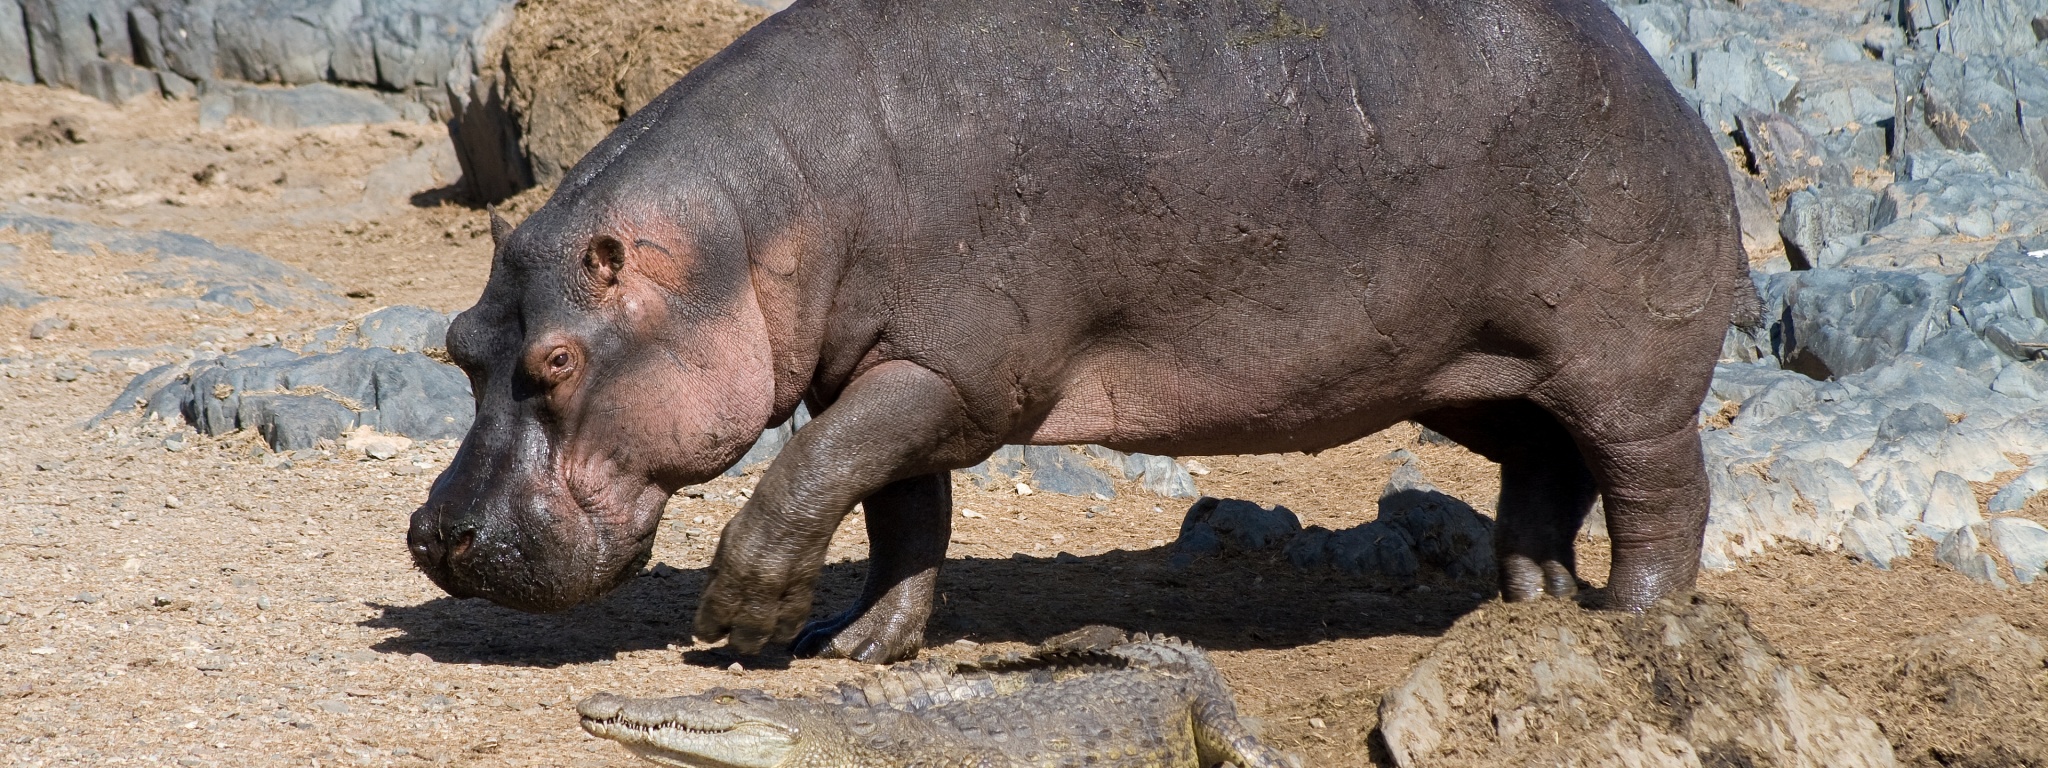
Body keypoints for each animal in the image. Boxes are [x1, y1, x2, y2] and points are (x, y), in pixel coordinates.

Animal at [407, 0, 1753, 663]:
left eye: (556, 360)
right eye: (462, 345)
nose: (433, 536)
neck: (745, 229)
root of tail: (1652, 74)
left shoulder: (946, 373)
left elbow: (808, 480)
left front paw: (742, 625)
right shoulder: (887, 369)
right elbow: (893, 510)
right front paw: (857, 645)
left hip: (1623, 371)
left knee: (1659, 490)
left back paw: (1629, 622)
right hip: (1481, 376)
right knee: (1545, 473)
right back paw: (1527, 609)